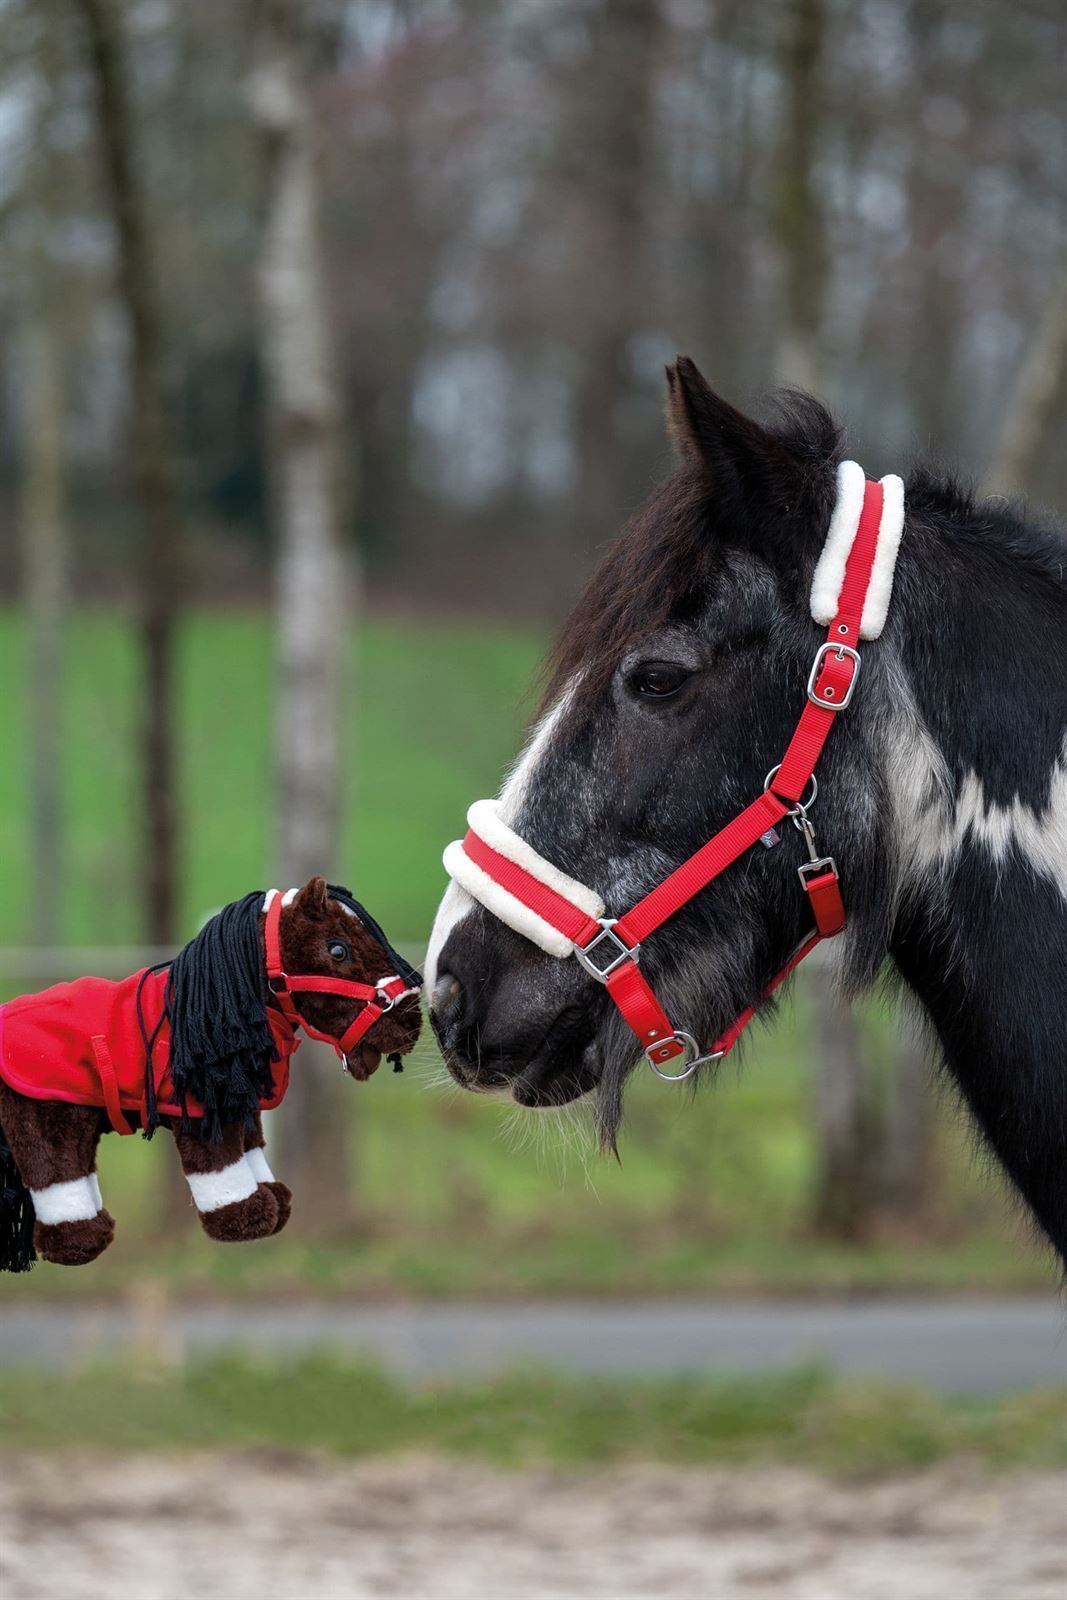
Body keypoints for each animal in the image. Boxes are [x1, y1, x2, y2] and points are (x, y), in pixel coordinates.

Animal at [0, 876, 422, 1273]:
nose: (410, 1022)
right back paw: (80, 1242)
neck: (226, 1008)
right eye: (338, 950)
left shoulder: (245, 1108)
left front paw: (275, 1200)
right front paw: (246, 1219)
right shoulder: (206, 1114)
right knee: (57, 1174)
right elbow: (220, 1166)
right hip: (46, 1117)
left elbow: (251, 1148)